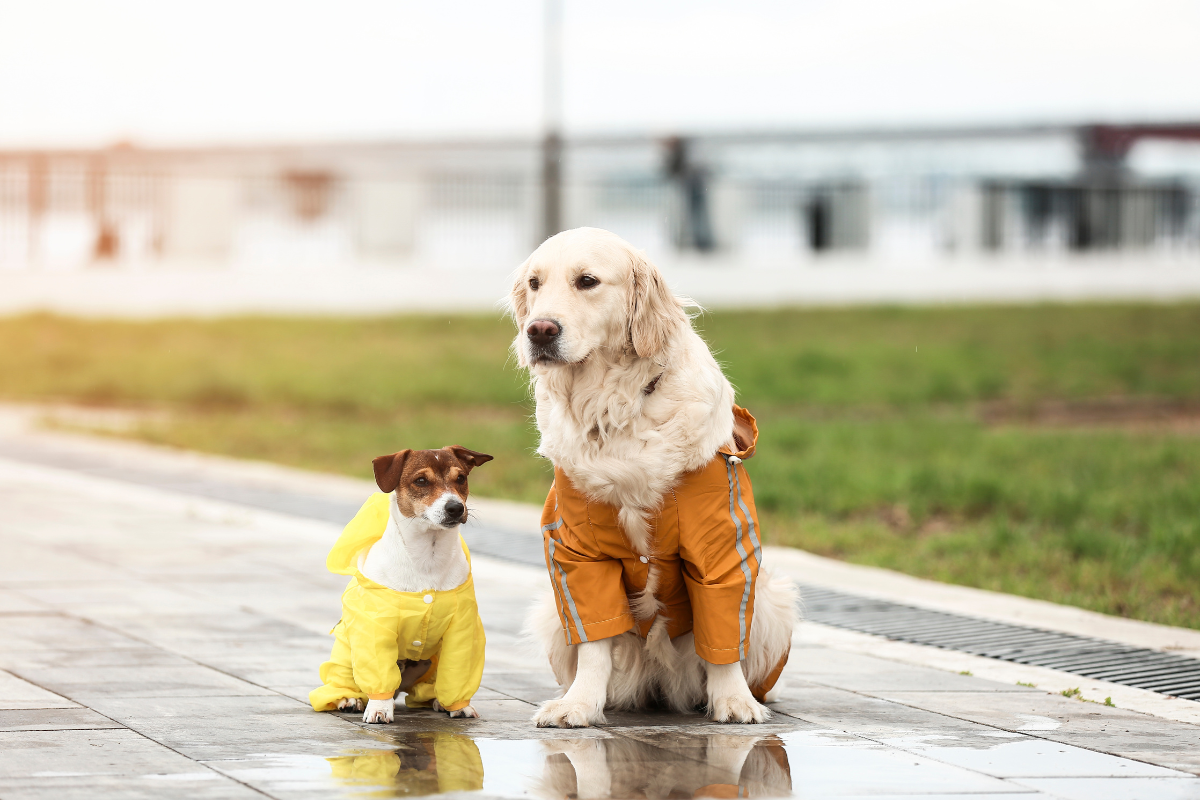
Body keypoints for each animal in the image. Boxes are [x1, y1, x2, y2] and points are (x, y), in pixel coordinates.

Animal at [506, 226, 796, 724]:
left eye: (587, 281)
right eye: (534, 283)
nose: (539, 330)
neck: (616, 408)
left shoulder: (722, 549)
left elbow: (723, 637)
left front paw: (734, 701)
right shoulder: (576, 553)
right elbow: (595, 639)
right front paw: (579, 704)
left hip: (774, 601)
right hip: (550, 613)